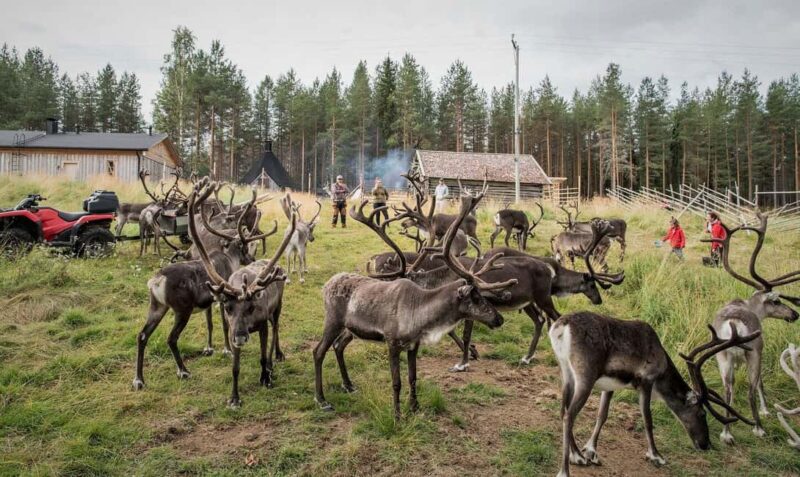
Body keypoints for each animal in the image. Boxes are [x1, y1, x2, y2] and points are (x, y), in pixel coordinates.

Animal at [132, 181, 273, 391]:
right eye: (245, 247)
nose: (251, 259)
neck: (229, 259)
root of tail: (156, 281)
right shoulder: (223, 299)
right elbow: (224, 324)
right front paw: (227, 350)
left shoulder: (208, 301)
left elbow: (209, 324)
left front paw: (209, 348)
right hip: (182, 310)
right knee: (171, 338)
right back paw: (183, 371)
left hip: (157, 306)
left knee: (142, 335)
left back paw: (139, 379)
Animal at [188, 188, 296, 408]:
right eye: (228, 307)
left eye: (251, 307)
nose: (240, 336)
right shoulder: (232, 328)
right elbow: (235, 368)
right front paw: (234, 398)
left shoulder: (262, 325)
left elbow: (263, 356)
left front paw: (265, 377)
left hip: (278, 307)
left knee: (276, 329)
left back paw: (276, 357)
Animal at [313, 182, 517, 420]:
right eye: (474, 297)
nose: (499, 318)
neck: (419, 312)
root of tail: (327, 283)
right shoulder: (392, 343)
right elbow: (396, 382)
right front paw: (397, 415)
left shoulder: (413, 345)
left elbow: (413, 377)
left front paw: (415, 407)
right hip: (332, 321)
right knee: (319, 351)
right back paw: (322, 399)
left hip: (350, 328)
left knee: (338, 346)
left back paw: (348, 384)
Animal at [550, 312, 760, 477]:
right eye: (702, 413)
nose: (706, 444)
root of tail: (562, 327)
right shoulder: (647, 381)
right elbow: (648, 420)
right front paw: (656, 456)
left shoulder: (610, 385)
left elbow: (602, 416)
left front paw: (590, 451)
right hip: (585, 376)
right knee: (569, 415)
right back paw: (565, 470)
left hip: (566, 373)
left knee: (563, 411)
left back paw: (577, 456)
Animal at [700, 212, 800, 444]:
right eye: (776, 301)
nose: (794, 314)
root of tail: (734, 324)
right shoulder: (758, 349)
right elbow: (760, 383)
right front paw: (765, 411)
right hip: (753, 351)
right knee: (751, 388)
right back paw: (758, 428)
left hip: (722, 355)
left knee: (727, 387)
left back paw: (726, 433)